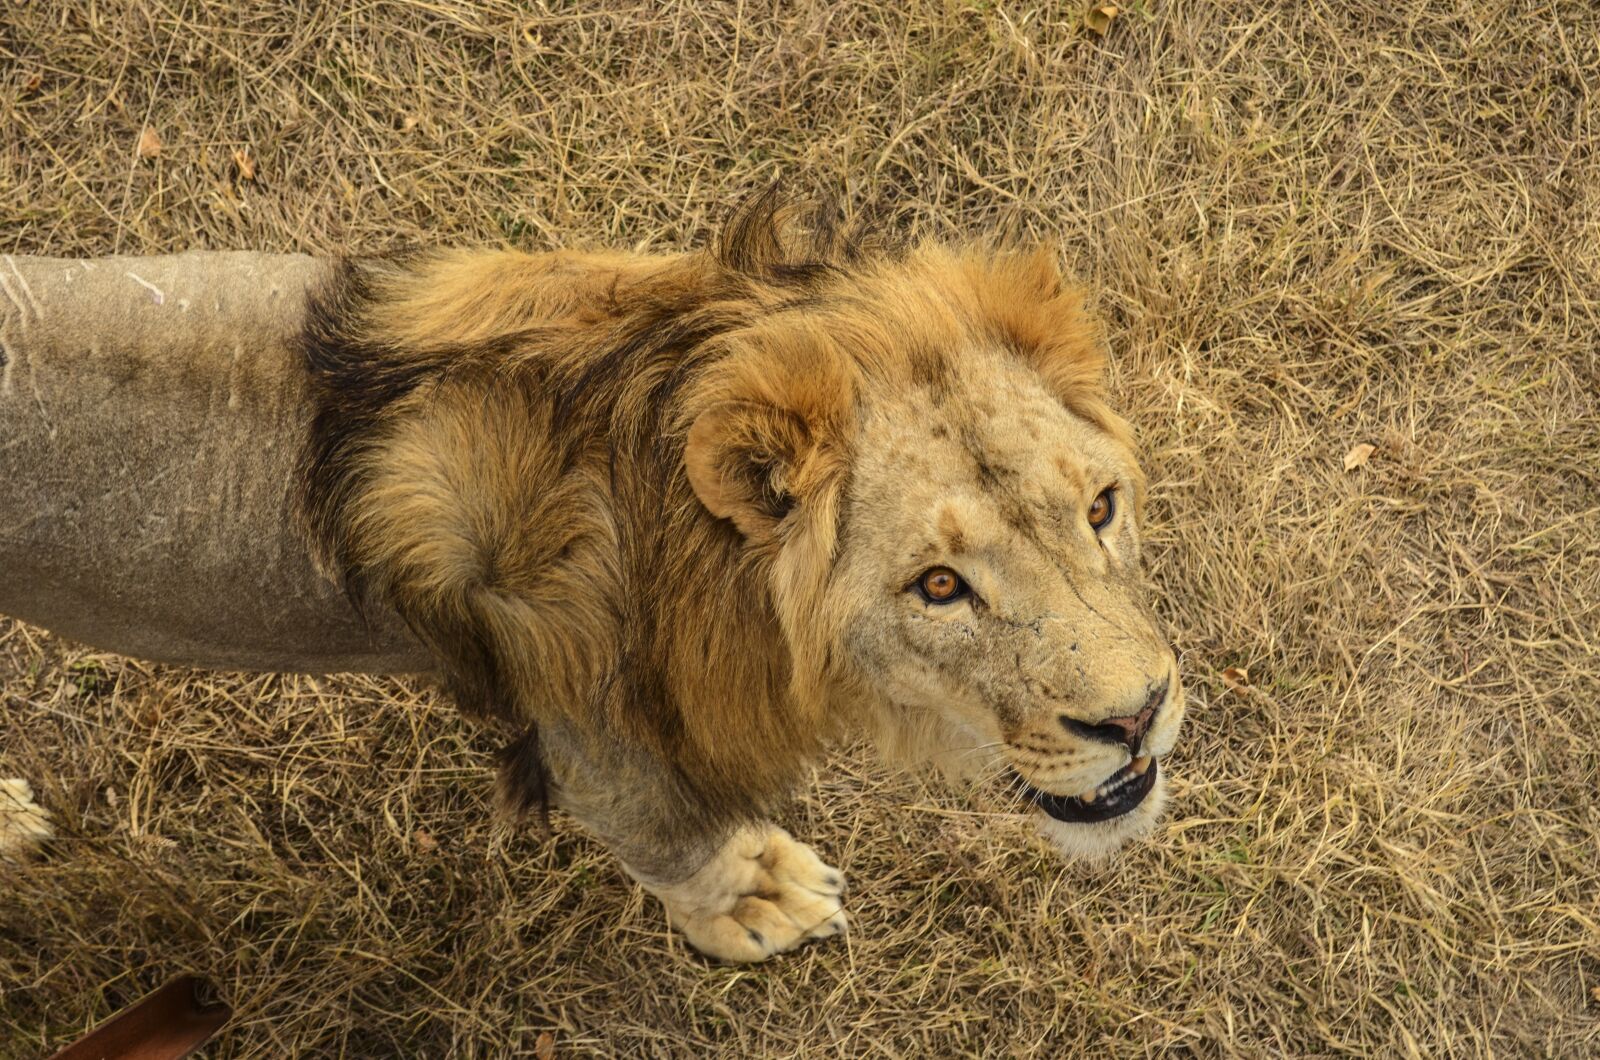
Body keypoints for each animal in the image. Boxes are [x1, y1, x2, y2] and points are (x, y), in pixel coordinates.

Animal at [0, 191, 1184, 962]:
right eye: (938, 587)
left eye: (1100, 508)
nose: (1138, 717)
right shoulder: (597, 749)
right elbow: (679, 849)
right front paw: (752, 899)